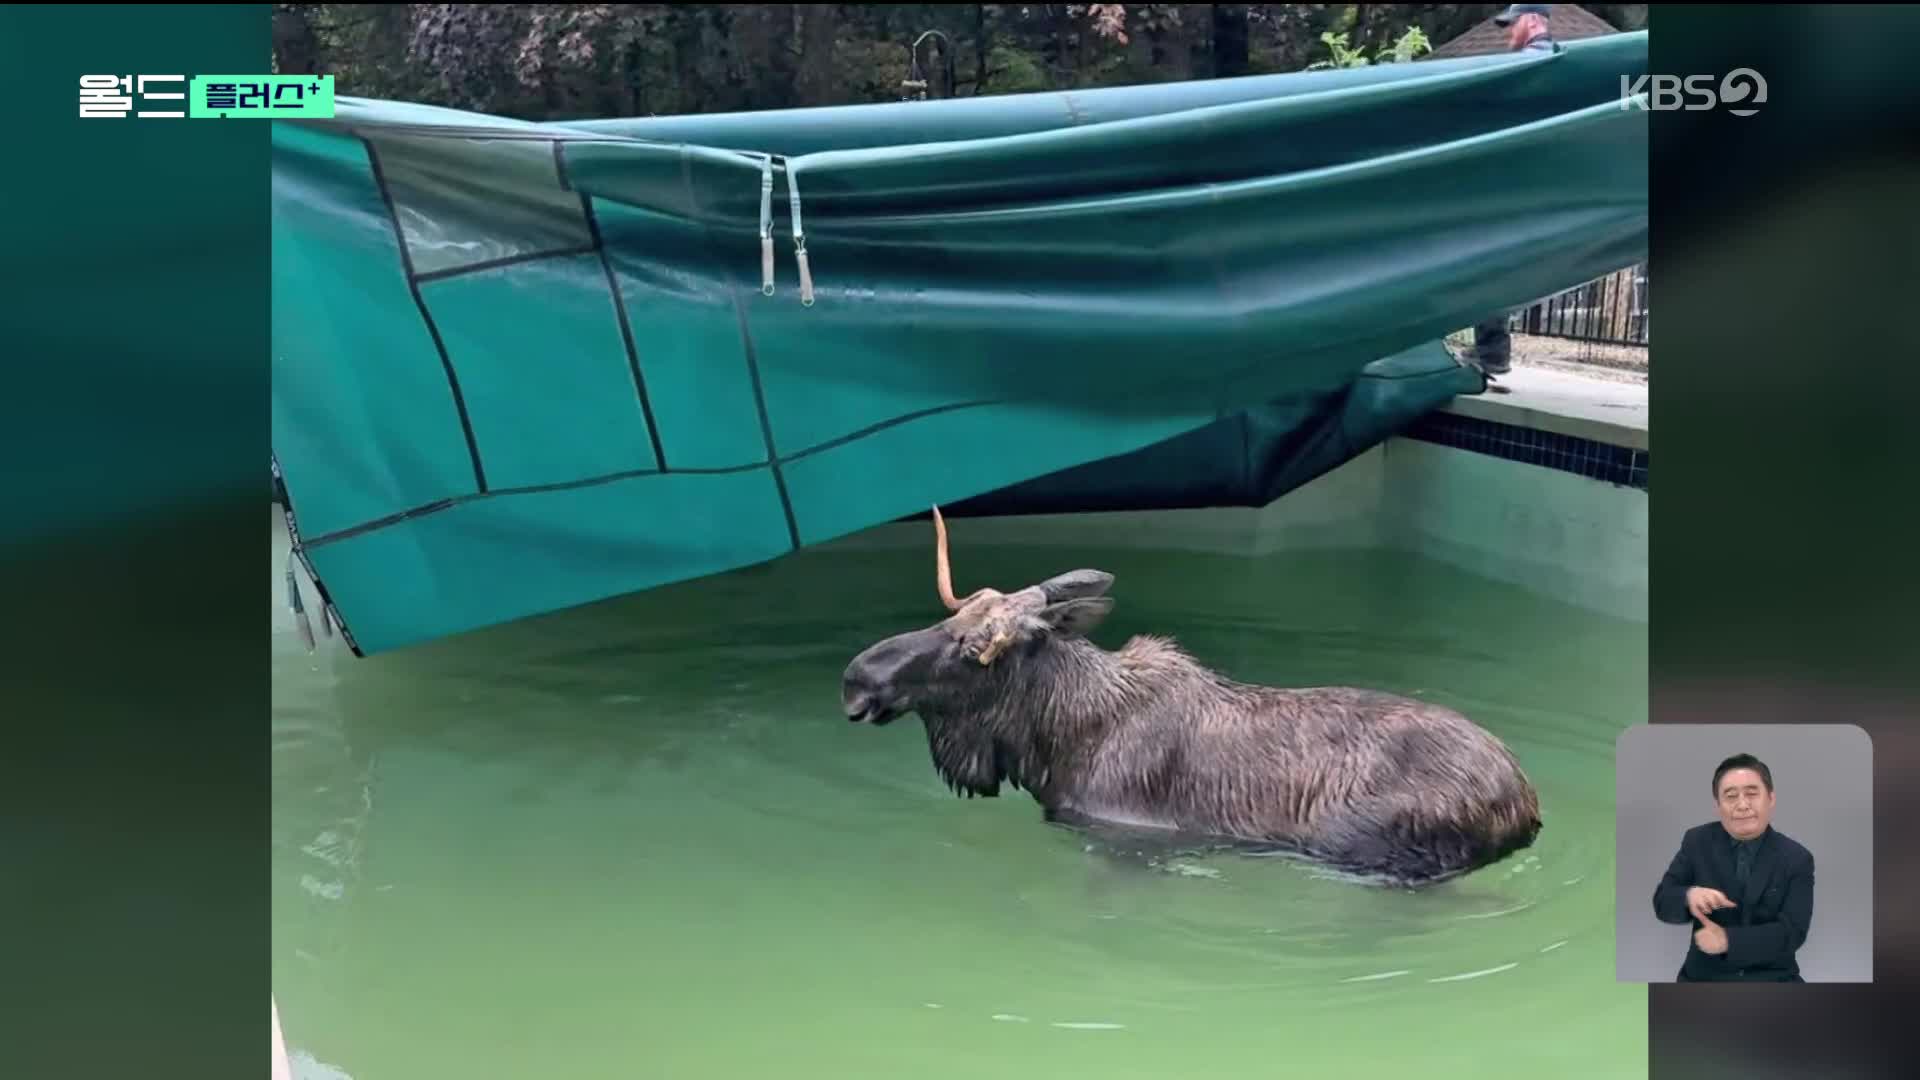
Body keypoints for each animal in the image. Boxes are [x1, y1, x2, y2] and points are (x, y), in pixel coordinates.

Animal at [840, 503, 1543, 883]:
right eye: (953, 619)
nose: (857, 677)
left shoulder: (1125, 840)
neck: (1053, 738)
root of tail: (1527, 804)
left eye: (971, 649)